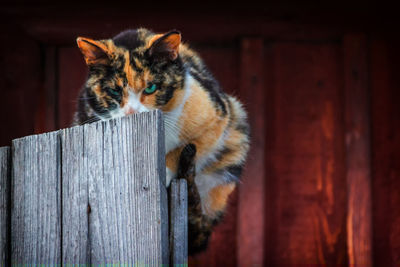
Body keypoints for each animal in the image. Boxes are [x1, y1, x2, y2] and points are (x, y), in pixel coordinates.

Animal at [73, 27, 248, 255]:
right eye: (114, 90)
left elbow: (188, 146)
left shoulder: (217, 115)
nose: (131, 113)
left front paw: (163, 170)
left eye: (151, 88)